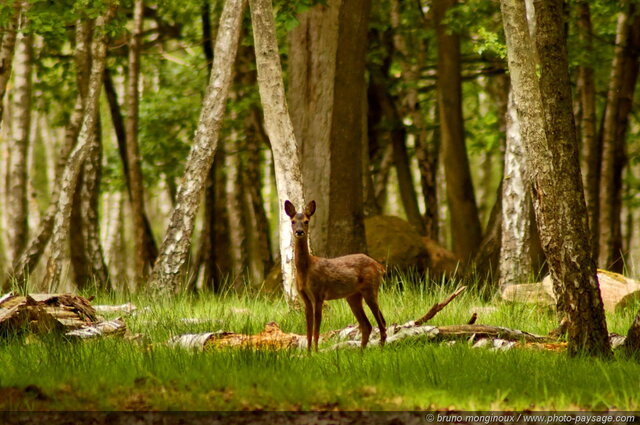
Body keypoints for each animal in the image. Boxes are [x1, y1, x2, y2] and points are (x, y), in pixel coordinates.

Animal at [286, 200, 388, 352]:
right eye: (293, 221)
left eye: (306, 221)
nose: (299, 232)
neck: (306, 269)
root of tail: (379, 266)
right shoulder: (305, 298)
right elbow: (308, 330)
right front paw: (308, 353)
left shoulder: (319, 294)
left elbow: (316, 329)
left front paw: (316, 352)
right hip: (353, 297)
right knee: (367, 325)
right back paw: (361, 353)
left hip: (370, 289)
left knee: (381, 323)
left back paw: (379, 350)